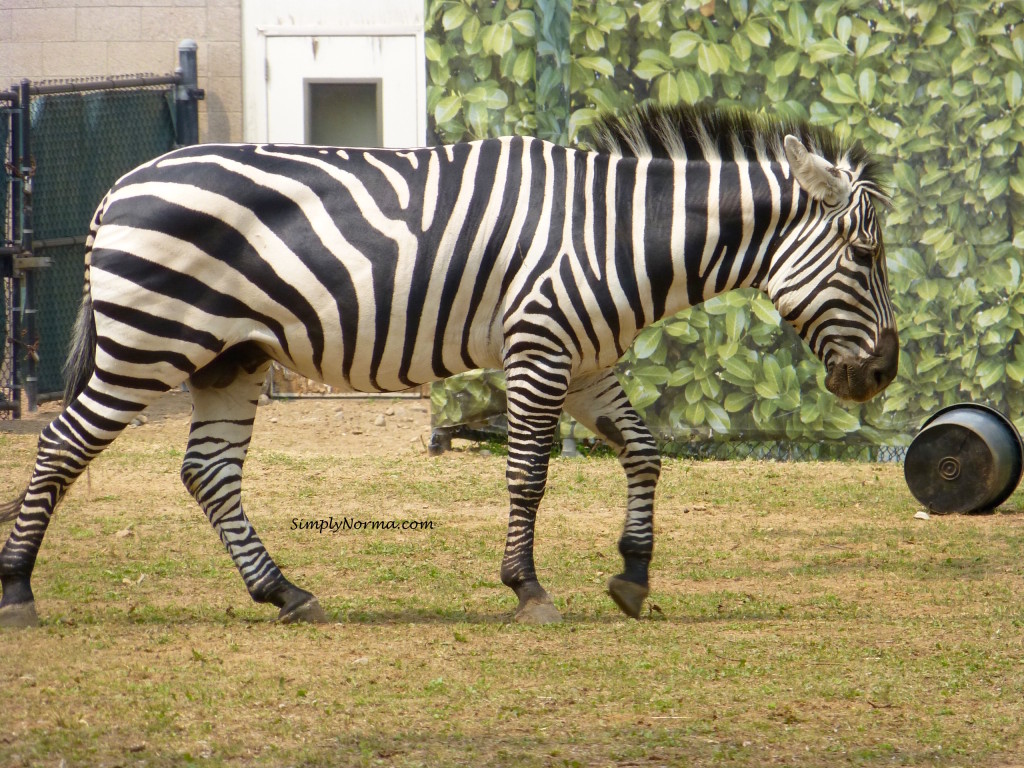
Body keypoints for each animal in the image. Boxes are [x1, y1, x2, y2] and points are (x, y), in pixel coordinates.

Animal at [0, 102, 897, 626]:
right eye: (864, 255)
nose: (884, 374)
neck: (615, 235)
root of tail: (118, 188)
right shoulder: (540, 348)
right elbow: (528, 473)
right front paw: (526, 586)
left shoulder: (587, 366)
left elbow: (645, 452)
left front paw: (633, 574)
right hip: (148, 345)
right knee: (61, 447)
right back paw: (17, 590)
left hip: (231, 356)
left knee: (207, 473)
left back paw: (285, 592)